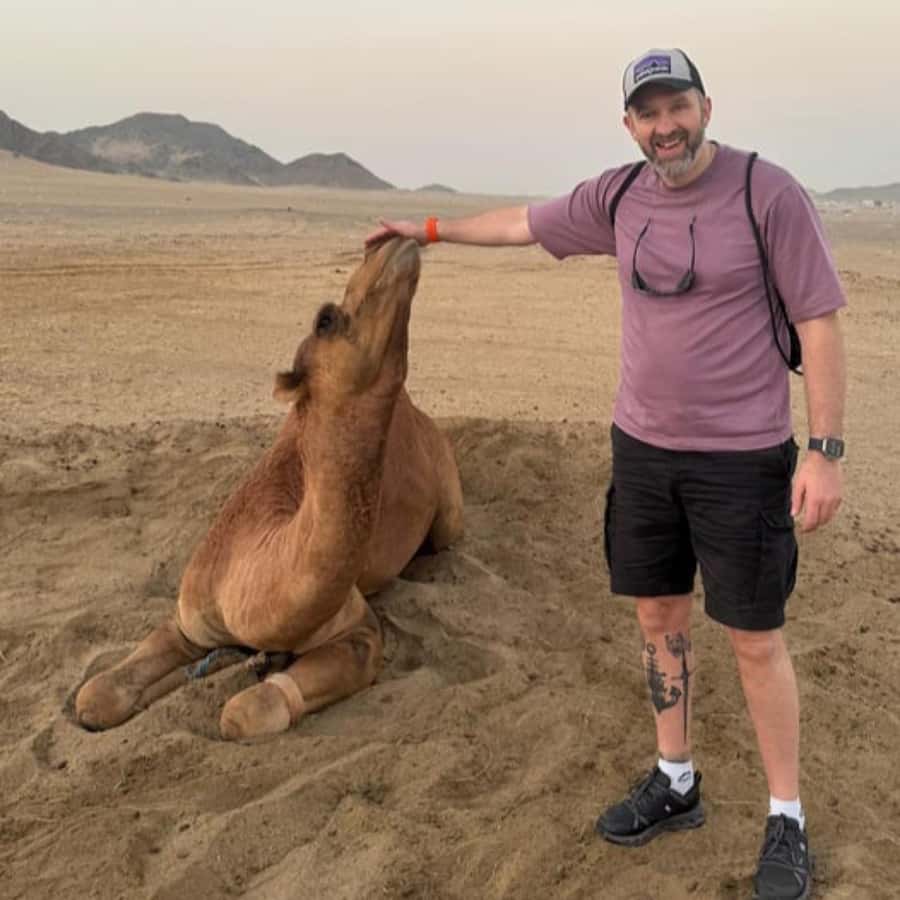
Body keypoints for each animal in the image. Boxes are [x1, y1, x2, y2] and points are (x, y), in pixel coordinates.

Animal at [75, 236, 463, 739]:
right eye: (325, 318)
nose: (390, 244)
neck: (251, 569)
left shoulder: (358, 630)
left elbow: (245, 711)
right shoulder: (188, 618)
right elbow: (96, 694)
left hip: (448, 503)